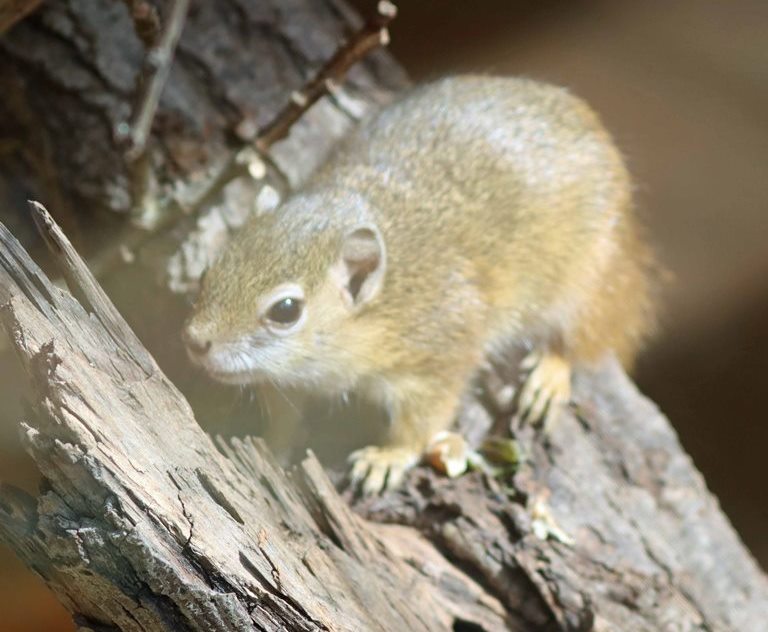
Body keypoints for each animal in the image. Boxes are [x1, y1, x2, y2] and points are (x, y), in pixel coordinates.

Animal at [183, 75, 656, 494]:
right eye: (210, 270)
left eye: (285, 310)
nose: (194, 342)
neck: (393, 293)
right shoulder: (289, 384)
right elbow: (284, 420)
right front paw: (271, 446)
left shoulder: (440, 353)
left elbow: (421, 423)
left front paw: (387, 458)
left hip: (586, 281)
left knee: (575, 340)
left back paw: (548, 376)